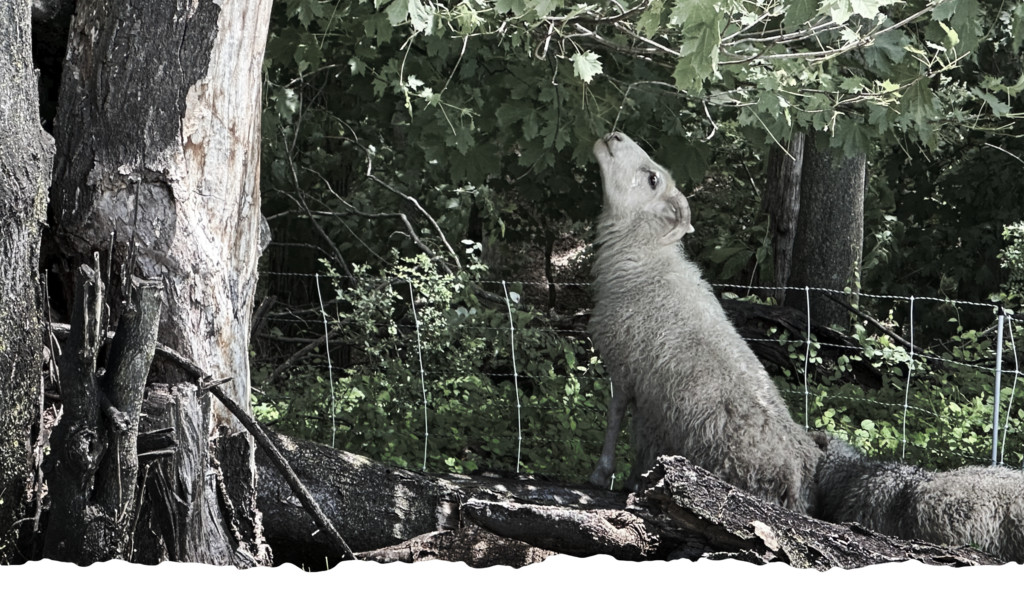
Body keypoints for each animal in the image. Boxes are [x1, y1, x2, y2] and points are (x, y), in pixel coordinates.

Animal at [587, 132, 823, 513]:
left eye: (652, 180)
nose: (615, 135)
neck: (645, 264)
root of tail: (797, 483)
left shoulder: (625, 369)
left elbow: (614, 420)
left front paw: (601, 474)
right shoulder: (648, 399)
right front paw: (629, 479)